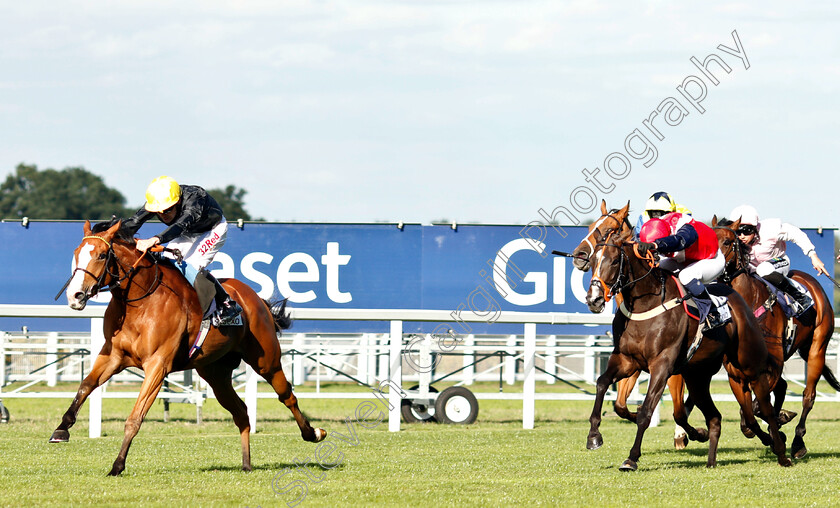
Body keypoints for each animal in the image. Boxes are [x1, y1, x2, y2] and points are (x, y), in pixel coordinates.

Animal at [49, 219, 324, 476]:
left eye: (101, 255)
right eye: (76, 253)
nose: (74, 296)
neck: (141, 300)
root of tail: (256, 298)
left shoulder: (157, 365)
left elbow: (135, 417)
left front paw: (117, 465)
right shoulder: (114, 356)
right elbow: (86, 386)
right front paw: (61, 429)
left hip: (266, 361)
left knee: (287, 395)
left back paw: (313, 433)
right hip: (216, 374)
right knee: (241, 412)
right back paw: (246, 464)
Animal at [580, 208, 792, 470]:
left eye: (614, 261)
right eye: (593, 262)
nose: (594, 299)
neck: (645, 304)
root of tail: (740, 301)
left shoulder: (662, 364)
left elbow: (647, 411)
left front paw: (631, 458)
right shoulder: (626, 360)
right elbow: (601, 384)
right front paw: (594, 436)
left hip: (748, 365)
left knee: (764, 406)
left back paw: (781, 449)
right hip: (698, 376)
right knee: (716, 417)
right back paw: (713, 458)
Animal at [712, 216, 836, 458]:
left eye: (728, 242)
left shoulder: (772, 367)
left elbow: (757, 408)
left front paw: (779, 426)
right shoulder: (735, 375)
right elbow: (748, 419)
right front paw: (773, 433)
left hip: (817, 349)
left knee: (808, 395)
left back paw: (798, 442)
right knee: (783, 387)